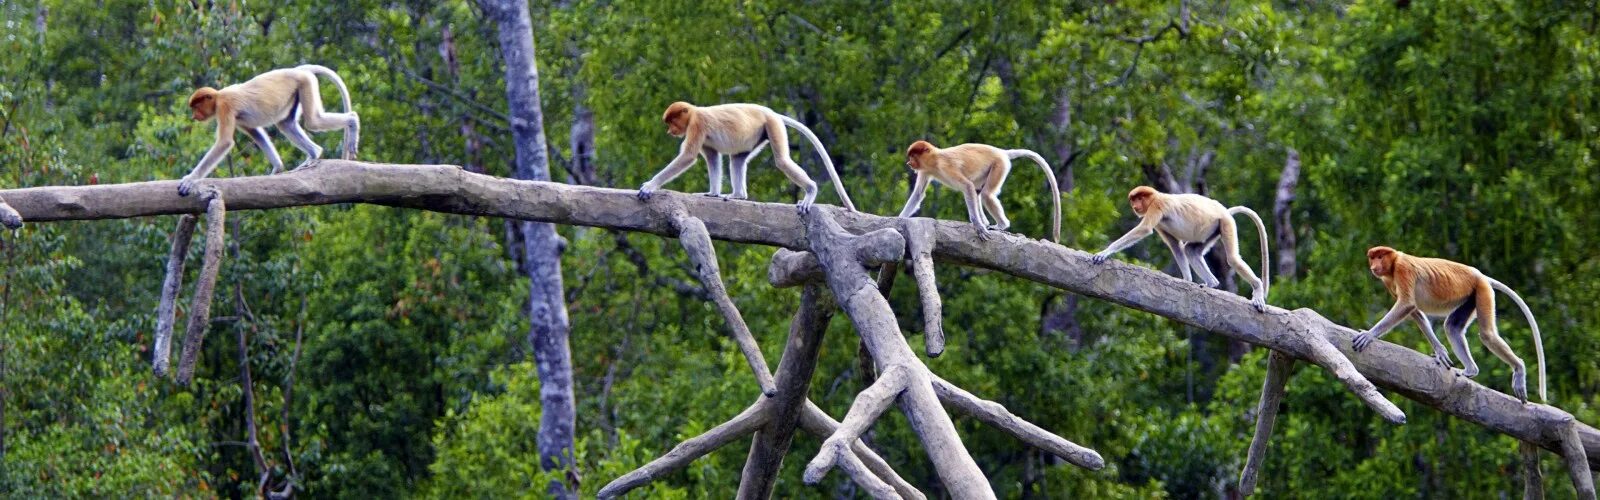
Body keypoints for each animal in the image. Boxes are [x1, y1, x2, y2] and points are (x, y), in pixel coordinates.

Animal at [180, 62, 361, 195]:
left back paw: (352, 122)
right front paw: (277, 168)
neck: (218, 97)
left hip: (305, 84)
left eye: (196, 106)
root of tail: (297, 70)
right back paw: (313, 155)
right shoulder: (238, 119)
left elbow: (224, 142)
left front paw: (190, 179)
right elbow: (256, 133)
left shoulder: (225, 107)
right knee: (286, 124)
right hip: (296, 92)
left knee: (313, 122)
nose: (194, 116)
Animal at [636, 101, 857, 213]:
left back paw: (810, 191)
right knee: (737, 159)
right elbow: (713, 158)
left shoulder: (697, 124)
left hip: (772, 125)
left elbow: (688, 156)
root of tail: (771, 112)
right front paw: (712, 193)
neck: (693, 112)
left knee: (782, 161)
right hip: (756, 135)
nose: (670, 131)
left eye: (672, 121)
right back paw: (737, 195)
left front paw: (649, 186)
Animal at [902, 139, 1062, 243]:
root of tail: (1001, 152)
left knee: (986, 194)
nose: (909, 163)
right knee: (978, 192)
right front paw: (900, 218)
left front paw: (978, 227)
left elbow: (967, 186)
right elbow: (918, 194)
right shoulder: (925, 170)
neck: (934, 159)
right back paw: (986, 221)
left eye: (913, 156)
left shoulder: (945, 166)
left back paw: (1000, 225)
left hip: (999, 165)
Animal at [1094, 186, 1267, 310]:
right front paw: (1187, 281)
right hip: (1211, 230)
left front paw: (1104, 252)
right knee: (1190, 251)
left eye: (1139, 198)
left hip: (1225, 223)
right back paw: (1211, 283)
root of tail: (1224, 211)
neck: (1155, 196)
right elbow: (1175, 246)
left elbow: (1144, 229)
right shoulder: (1160, 224)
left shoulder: (1157, 206)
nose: (1135, 205)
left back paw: (1257, 289)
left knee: (1232, 259)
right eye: (1133, 199)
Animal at [1350, 246, 1548, 402]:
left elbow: (1407, 304)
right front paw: (1440, 351)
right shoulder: (1389, 281)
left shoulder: (1403, 269)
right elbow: (1415, 312)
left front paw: (1368, 335)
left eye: (1380, 256)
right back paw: (1470, 370)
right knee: (1452, 327)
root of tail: (1480, 275)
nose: (1374, 266)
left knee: (1487, 335)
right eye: (1372, 257)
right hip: (1471, 296)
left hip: (1482, 289)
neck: (1394, 262)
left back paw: (1519, 367)